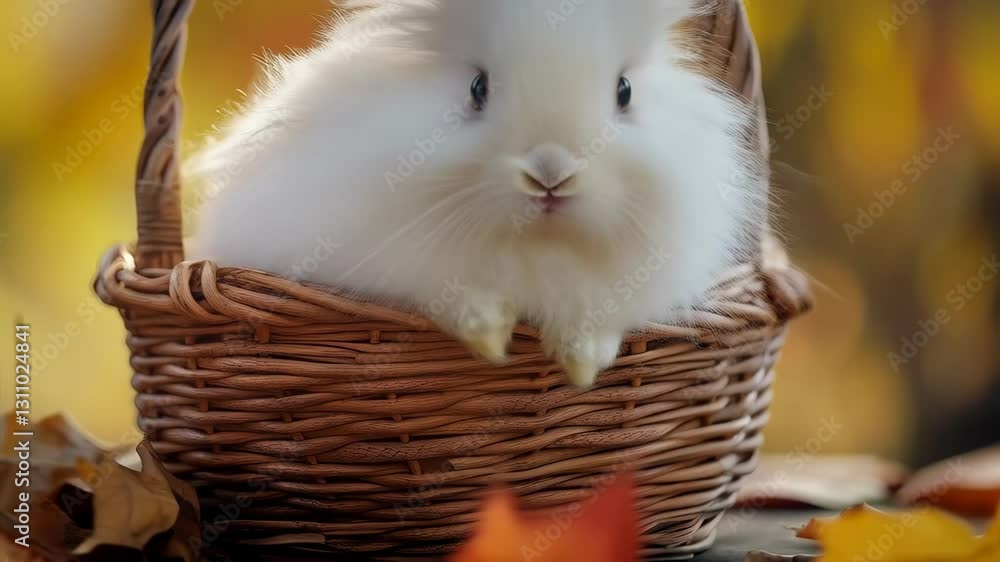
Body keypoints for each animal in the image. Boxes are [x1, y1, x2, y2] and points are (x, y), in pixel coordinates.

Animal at [188, 0, 768, 387]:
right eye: (477, 88)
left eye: (624, 91)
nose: (551, 174)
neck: (535, 249)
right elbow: (449, 295)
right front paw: (490, 339)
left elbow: (598, 315)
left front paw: (581, 363)